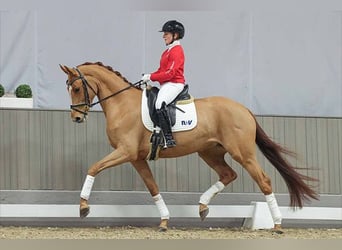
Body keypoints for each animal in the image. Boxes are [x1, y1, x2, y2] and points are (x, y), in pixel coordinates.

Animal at [59, 61, 318, 231]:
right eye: (68, 88)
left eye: (77, 88)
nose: (76, 118)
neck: (122, 104)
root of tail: (244, 108)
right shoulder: (137, 158)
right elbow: (152, 187)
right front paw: (164, 220)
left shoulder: (125, 152)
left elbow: (93, 167)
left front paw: (83, 207)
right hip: (209, 152)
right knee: (228, 174)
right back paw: (202, 207)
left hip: (242, 153)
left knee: (263, 180)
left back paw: (277, 224)